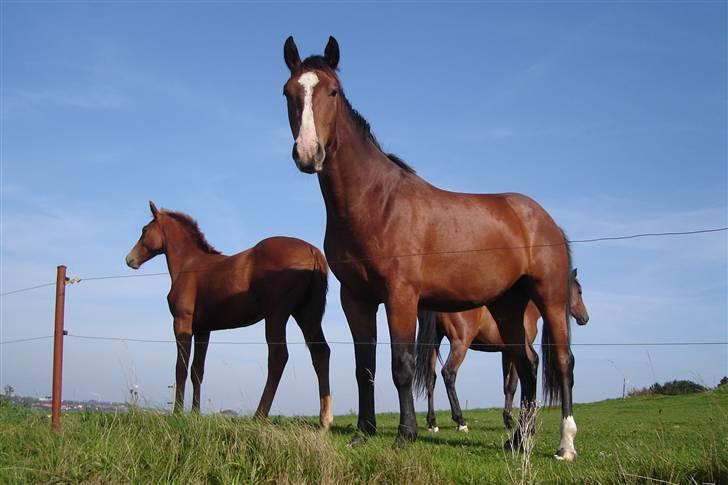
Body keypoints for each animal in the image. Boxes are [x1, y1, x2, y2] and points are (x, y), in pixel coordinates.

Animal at [124, 200, 332, 428]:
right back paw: (324, 420)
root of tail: (312, 251)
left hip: (276, 316)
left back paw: (259, 416)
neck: (189, 265)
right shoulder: (203, 330)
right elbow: (197, 370)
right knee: (321, 353)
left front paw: (177, 414)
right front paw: (195, 413)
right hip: (307, 315)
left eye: (144, 230)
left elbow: (181, 367)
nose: (129, 259)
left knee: (278, 357)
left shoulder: (182, 323)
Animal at [412, 270, 588, 432]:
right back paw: (460, 421)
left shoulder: (506, 353)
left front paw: (507, 419)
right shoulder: (518, 352)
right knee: (448, 373)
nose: (585, 318)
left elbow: (507, 386)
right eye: (579, 291)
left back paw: (432, 423)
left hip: (434, 344)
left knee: (430, 379)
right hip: (460, 344)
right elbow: (513, 384)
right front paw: (511, 421)